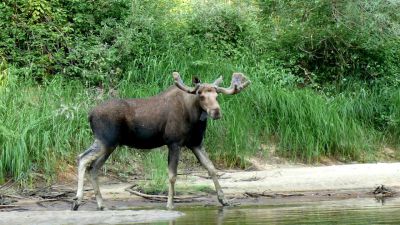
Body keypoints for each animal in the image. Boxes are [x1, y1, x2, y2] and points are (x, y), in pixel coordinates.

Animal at [70, 71, 248, 210]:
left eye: (217, 95)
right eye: (201, 95)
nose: (216, 112)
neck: (195, 118)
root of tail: (90, 115)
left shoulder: (195, 143)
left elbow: (211, 168)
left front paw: (224, 200)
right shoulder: (174, 142)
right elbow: (172, 175)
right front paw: (169, 204)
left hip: (109, 146)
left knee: (94, 168)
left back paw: (100, 204)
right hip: (105, 140)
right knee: (82, 158)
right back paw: (77, 201)